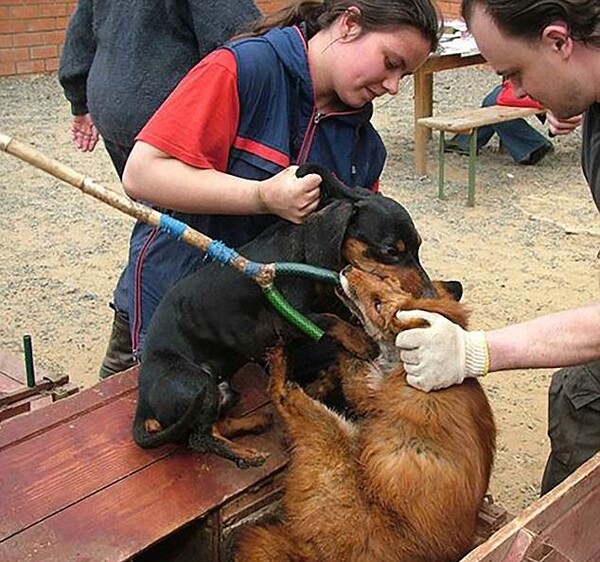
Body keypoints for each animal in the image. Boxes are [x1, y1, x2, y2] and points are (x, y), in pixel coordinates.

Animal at [134, 164, 438, 466]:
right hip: (198, 384)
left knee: (216, 425)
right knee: (200, 438)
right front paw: (360, 341)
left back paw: (255, 421)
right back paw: (247, 455)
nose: (431, 293)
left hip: (223, 392)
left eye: (419, 246)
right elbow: (328, 319)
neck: (301, 253)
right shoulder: (286, 318)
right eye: (391, 251)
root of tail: (143, 406)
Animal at [236, 264, 496, 556]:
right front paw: (325, 378)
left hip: (330, 434)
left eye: (378, 304)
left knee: (282, 393)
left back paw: (280, 356)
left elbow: (347, 360)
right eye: (383, 278)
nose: (348, 268)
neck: (397, 363)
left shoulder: (368, 390)